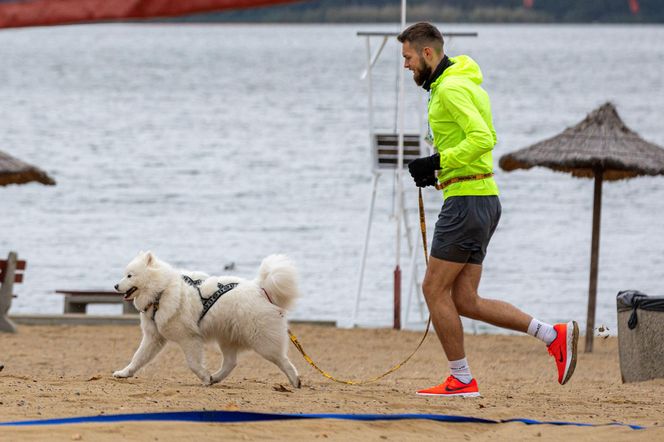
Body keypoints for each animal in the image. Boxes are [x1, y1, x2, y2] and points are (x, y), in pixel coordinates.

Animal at [113, 250, 300, 388]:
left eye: (129, 276)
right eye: (124, 275)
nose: (115, 285)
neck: (161, 292)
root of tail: (260, 288)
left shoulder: (189, 338)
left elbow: (193, 363)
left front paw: (203, 377)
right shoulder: (153, 337)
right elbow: (137, 358)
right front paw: (124, 373)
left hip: (262, 342)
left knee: (283, 359)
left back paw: (295, 381)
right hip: (227, 339)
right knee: (231, 363)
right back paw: (216, 377)